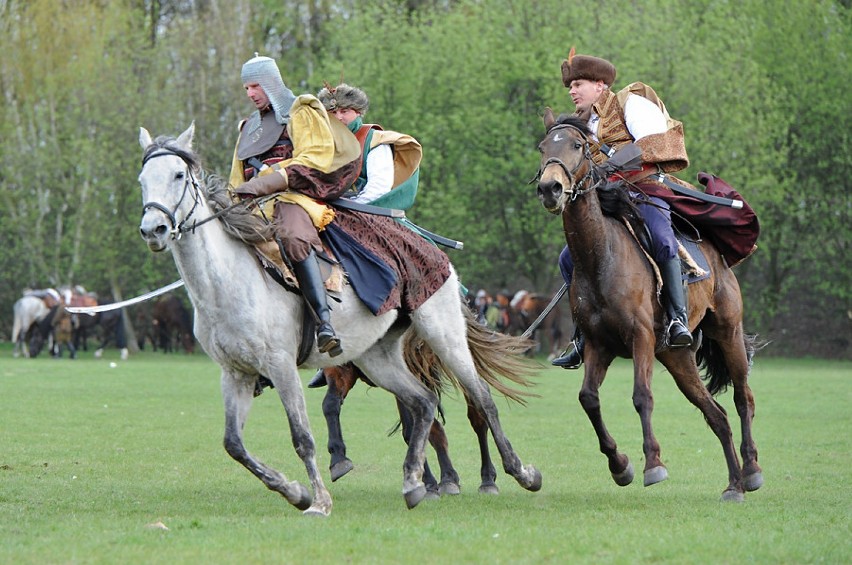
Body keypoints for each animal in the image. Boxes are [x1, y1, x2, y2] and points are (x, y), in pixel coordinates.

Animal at [139, 124, 540, 516]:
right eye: (143, 179)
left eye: (178, 175)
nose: (153, 230)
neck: (227, 282)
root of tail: (432, 251)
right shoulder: (235, 372)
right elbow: (233, 444)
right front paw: (294, 491)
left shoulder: (280, 366)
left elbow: (302, 438)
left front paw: (318, 501)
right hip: (377, 356)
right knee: (423, 402)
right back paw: (413, 482)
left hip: (443, 335)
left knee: (481, 398)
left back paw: (520, 473)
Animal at [536, 111, 764, 502]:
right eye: (542, 147)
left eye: (578, 145)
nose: (550, 188)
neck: (601, 256)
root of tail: (717, 257)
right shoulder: (598, 345)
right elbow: (588, 398)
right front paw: (620, 465)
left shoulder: (639, 337)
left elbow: (642, 396)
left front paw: (652, 463)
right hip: (677, 357)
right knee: (716, 414)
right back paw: (733, 485)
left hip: (728, 332)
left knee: (742, 399)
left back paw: (750, 471)